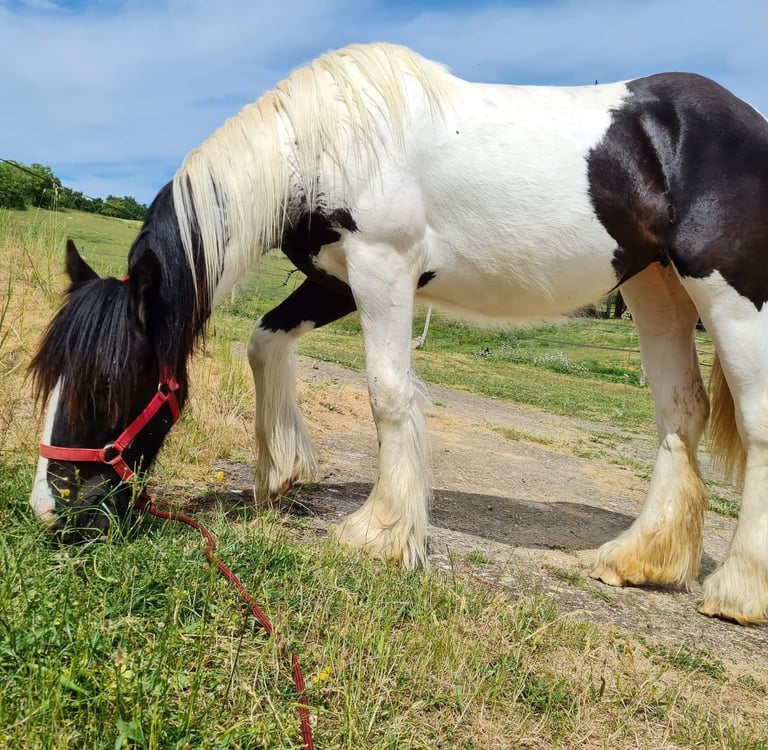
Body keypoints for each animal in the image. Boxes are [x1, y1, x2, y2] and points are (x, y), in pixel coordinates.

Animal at [28, 43, 768, 624]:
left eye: (108, 385)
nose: (50, 509)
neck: (323, 144)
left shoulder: (381, 269)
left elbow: (387, 392)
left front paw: (380, 532)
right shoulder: (333, 280)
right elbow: (264, 344)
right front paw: (281, 473)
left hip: (730, 296)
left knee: (755, 423)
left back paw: (735, 592)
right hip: (655, 288)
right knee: (681, 413)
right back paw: (639, 559)